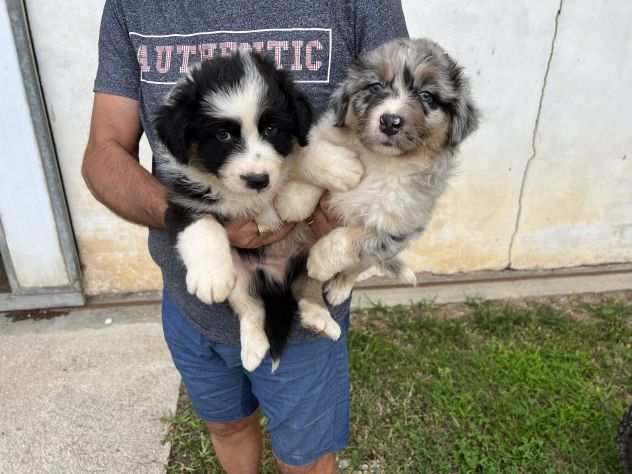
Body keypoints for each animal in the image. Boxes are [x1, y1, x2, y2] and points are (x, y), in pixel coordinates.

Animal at [154, 53, 340, 372]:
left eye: (271, 130)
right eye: (222, 135)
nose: (257, 179)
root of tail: (275, 275)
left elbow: (306, 154)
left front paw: (340, 167)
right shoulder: (182, 203)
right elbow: (203, 227)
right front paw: (209, 278)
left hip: (312, 252)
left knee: (307, 285)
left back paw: (319, 317)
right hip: (240, 274)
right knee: (251, 307)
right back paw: (254, 349)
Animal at [276, 38, 478, 304]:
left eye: (427, 96)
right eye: (375, 86)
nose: (390, 121)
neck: (380, 161)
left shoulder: (398, 228)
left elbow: (350, 238)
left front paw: (319, 262)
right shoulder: (326, 136)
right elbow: (319, 156)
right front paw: (293, 200)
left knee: (355, 268)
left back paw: (339, 288)